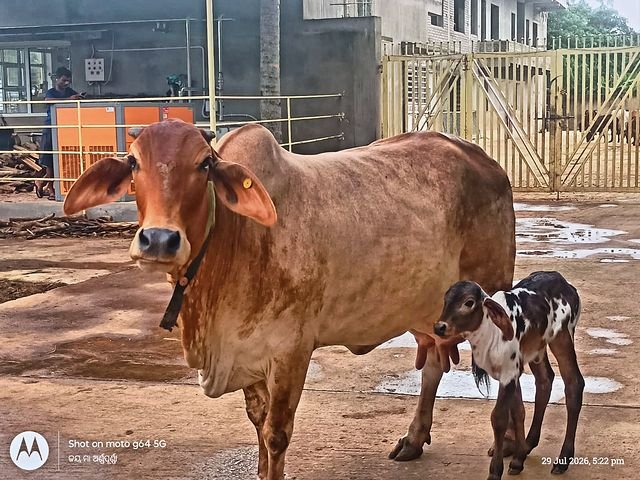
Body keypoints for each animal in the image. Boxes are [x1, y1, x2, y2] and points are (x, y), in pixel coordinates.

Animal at [63, 119, 516, 480]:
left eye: (204, 164)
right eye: (133, 162)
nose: (159, 239)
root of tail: (485, 159)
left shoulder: (291, 351)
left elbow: (276, 434)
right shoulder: (248, 353)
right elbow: (257, 425)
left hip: (496, 300)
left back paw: (508, 447)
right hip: (429, 311)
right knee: (435, 362)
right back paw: (414, 439)